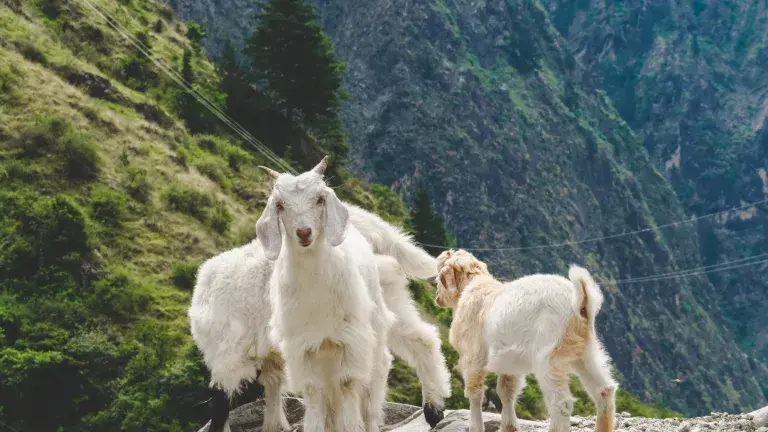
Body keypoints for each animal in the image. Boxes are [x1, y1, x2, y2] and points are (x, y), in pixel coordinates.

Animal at [256, 155, 396, 432]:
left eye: (320, 198)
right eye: (280, 205)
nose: (304, 232)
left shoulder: (351, 339)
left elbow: (348, 384)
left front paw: (351, 426)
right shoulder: (302, 346)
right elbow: (313, 391)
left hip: (373, 331)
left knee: (375, 377)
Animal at [434, 249, 617, 432]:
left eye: (439, 275)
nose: (437, 298)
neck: (475, 286)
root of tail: (580, 302)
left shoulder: (473, 357)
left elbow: (475, 392)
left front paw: (475, 426)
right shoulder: (509, 362)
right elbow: (506, 391)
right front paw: (509, 427)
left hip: (548, 356)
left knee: (561, 402)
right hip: (587, 352)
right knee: (604, 390)